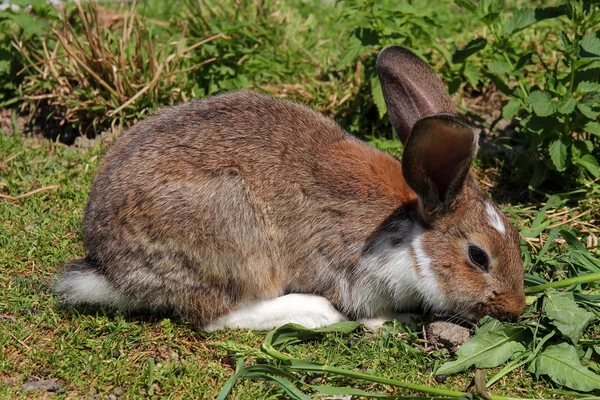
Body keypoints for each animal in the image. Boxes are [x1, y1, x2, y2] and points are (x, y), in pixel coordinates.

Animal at [55, 46, 524, 332]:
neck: (410, 234)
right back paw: (314, 313)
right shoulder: (353, 272)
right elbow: (368, 309)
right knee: (216, 315)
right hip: (233, 236)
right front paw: (392, 322)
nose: (515, 308)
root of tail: (110, 267)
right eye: (478, 257)